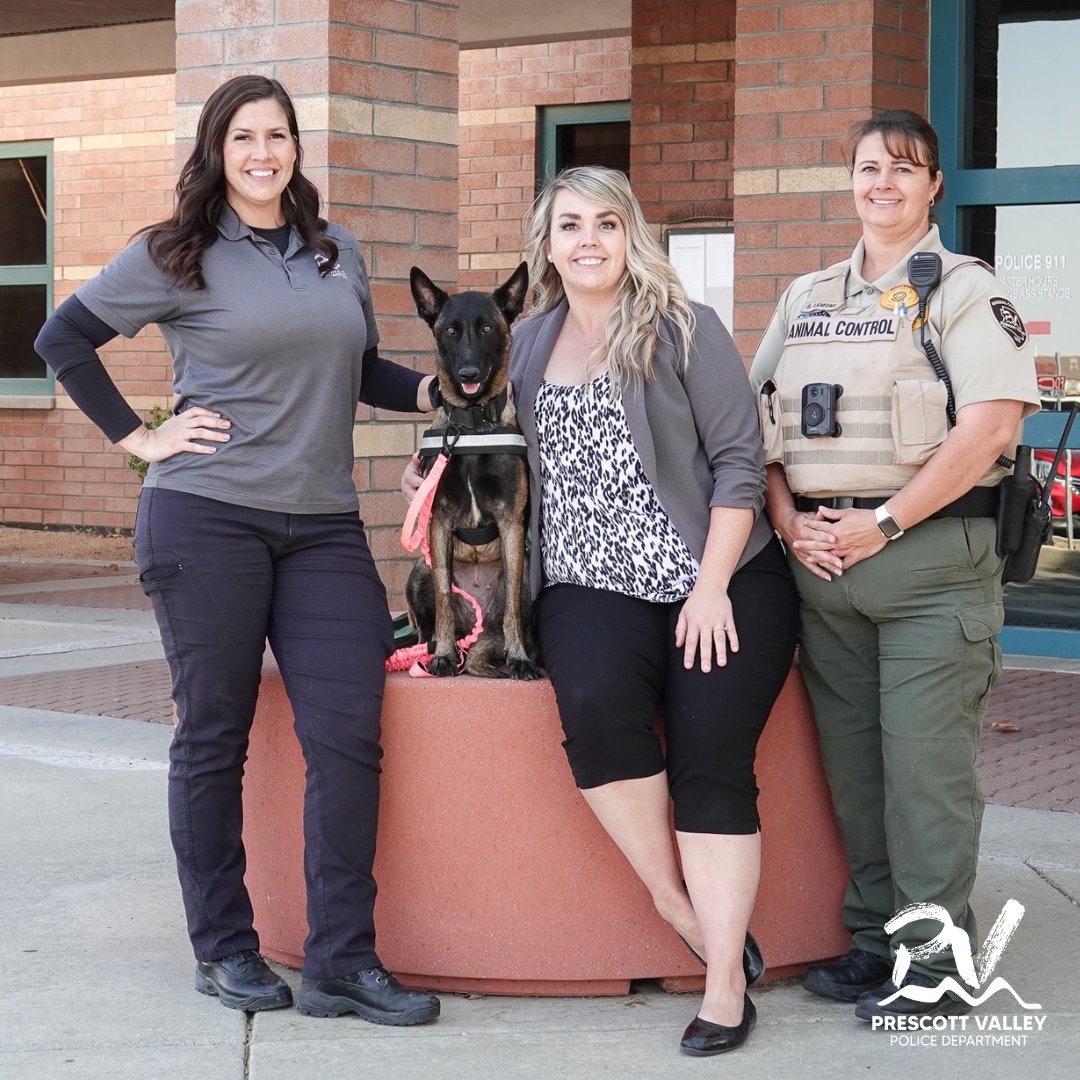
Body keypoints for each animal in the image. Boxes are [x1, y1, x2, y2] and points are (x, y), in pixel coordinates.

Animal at [403, 261, 540, 678]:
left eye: (487, 328)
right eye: (450, 330)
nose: (468, 374)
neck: (471, 426)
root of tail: (477, 636)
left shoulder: (511, 523)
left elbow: (512, 610)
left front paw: (519, 658)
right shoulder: (439, 521)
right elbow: (444, 602)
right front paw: (445, 656)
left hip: (527, 573)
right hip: (420, 568)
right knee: (428, 623)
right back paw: (430, 650)